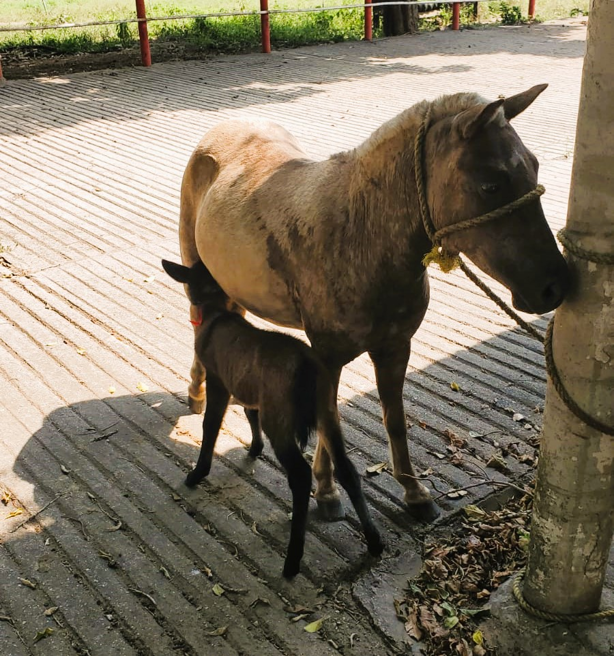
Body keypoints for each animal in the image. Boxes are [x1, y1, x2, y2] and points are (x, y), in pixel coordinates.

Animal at [164, 258, 384, 576]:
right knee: (347, 468)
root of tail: (306, 367)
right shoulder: (251, 390)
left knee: (301, 475)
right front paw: (254, 448)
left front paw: (196, 473)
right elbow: (248, 412)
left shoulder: (219, 379)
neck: (215, 313)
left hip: (280, 415)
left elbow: (211, 424)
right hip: (327, 408)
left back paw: (292, 560)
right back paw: (375, 541)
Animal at [179, 83, 572, 524]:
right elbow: (329, 423)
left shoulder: (395, 348)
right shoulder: (328, 357)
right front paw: (327, 493)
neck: (360, 233)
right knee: (198, 317)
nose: (554, 288)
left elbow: (393, 419)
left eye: (535, 167)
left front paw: (413, 492)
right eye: (491, 185)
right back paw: (196, 393)